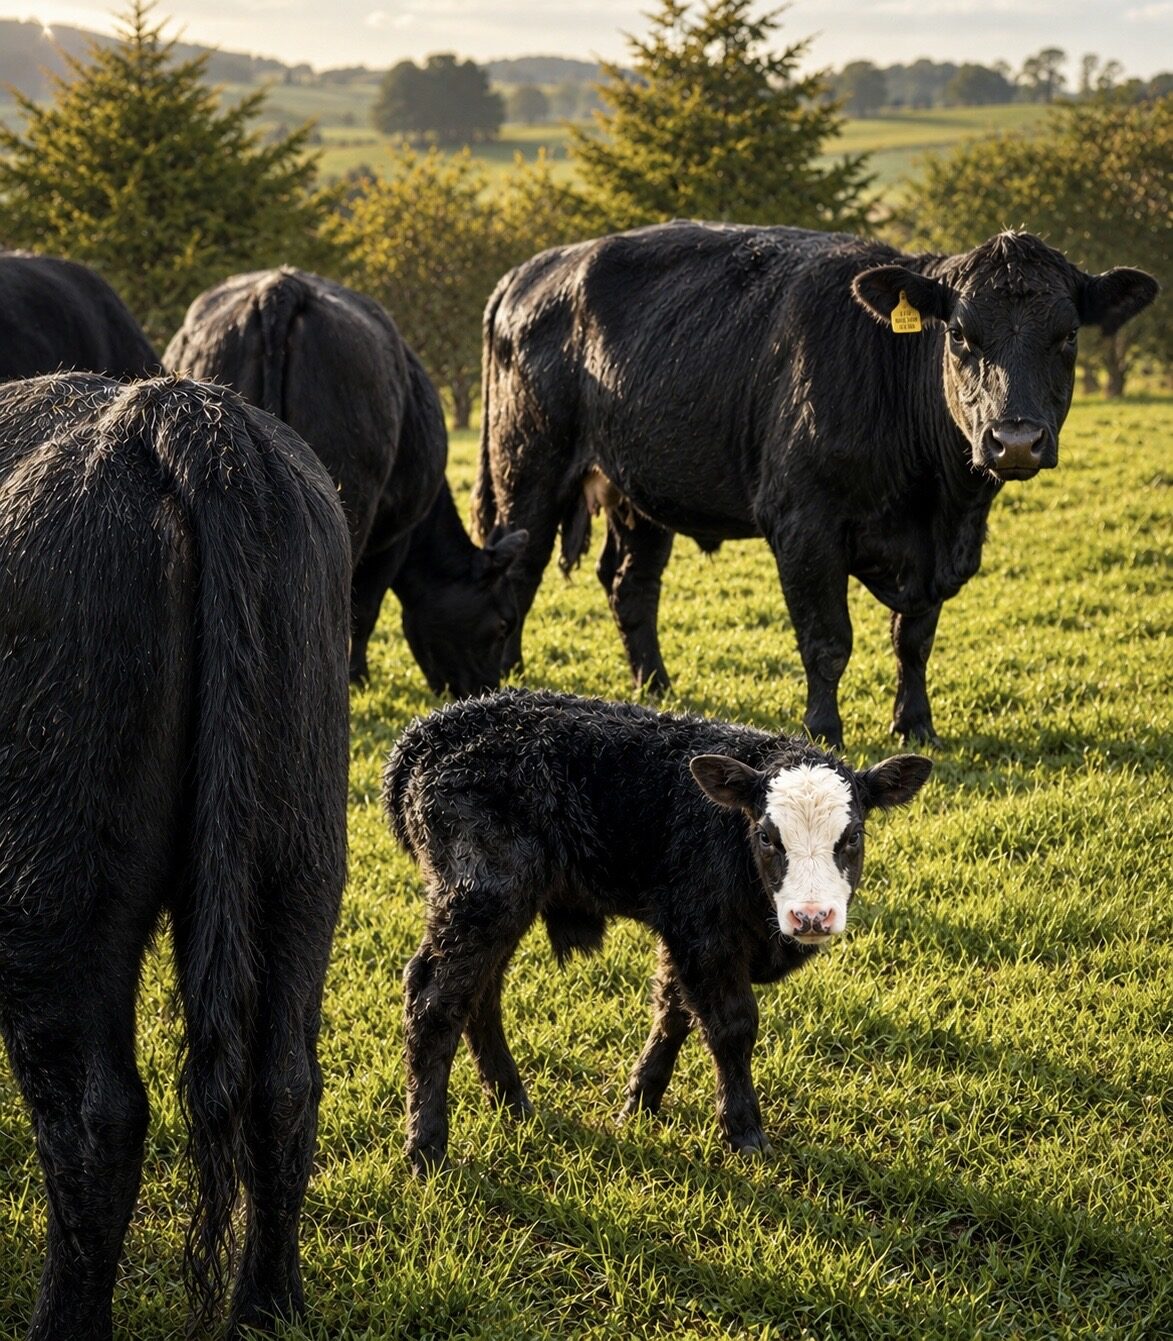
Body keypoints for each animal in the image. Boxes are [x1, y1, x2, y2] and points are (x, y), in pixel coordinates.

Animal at [0, 373, 350, 1339]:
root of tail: (176, 409)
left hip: (52, 895)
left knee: (95, 1119)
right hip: (297, 869)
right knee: (283, 1085)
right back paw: (268, 1307)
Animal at [164, 268, 527, 693]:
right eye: (503, 625)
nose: (486, 689)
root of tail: (281, 285)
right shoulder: (396, 537)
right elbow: (366, 607)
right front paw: (359, 677)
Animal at [384, 688, 932, 1173]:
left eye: (853, 836)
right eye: (766, 837)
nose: (812, 916)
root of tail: (430, 734)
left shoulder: (683, 929)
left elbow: (673, 1011)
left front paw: (640, 1103)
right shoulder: (705, 935)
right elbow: (732, 1025)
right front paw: (744, 1131)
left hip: (500, 904)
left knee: (481, 993)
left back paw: (512, 1101)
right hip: (482, 896)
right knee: (434, 1000)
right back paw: (426, 1147)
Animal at [474, 224, 1158, 748]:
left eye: (1068, 335)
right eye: (961, 334)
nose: (1014, 439)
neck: (934, 504)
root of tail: (536, 267)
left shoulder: (937, 550)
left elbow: (914, 640)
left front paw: (916, 726)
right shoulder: (805, 523)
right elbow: (828, 640)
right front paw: (824, 732)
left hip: (639, 490)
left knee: (630, 586)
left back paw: (658, 688)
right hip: (527, 469)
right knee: (519, 572)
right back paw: (502, 684)